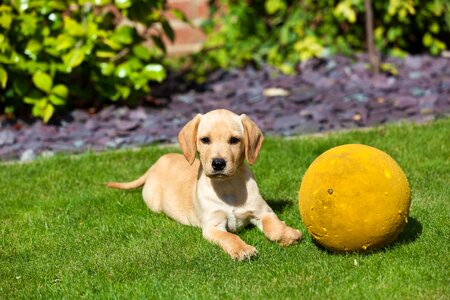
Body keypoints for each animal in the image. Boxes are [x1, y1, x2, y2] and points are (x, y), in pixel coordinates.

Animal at [107, 109, 300, 258]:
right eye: (205, 139)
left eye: (234, 140)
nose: (218, 163)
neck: (227, 186)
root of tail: (155, 164)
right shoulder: (212, 227)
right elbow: (230, 237)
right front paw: (242, 249)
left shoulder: (263, 212)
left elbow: (274, 225)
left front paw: (289, 234)